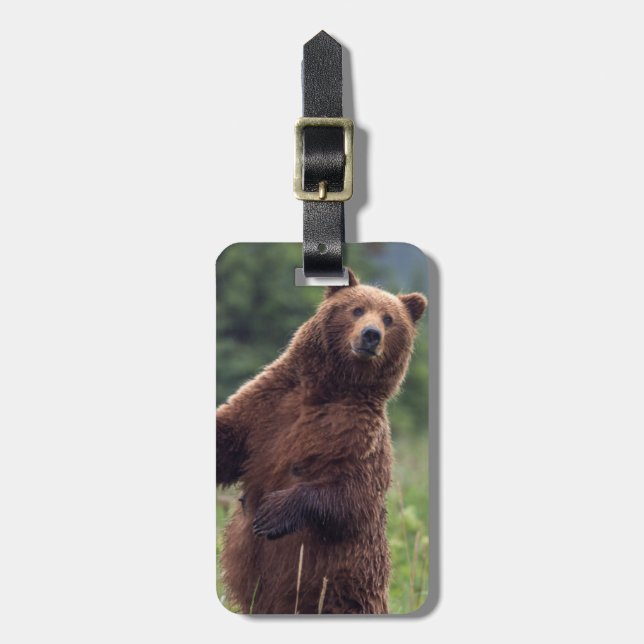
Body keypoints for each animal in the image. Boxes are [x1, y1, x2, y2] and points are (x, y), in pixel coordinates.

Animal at [216, 269, 427, 614]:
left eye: (389, 318)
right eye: (356, 309)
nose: (371, 335)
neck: (330, 389)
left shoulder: (360, 436)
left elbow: (354, 495)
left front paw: (273, 513)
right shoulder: (268, 406)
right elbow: (229, 438)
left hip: (343, 589)